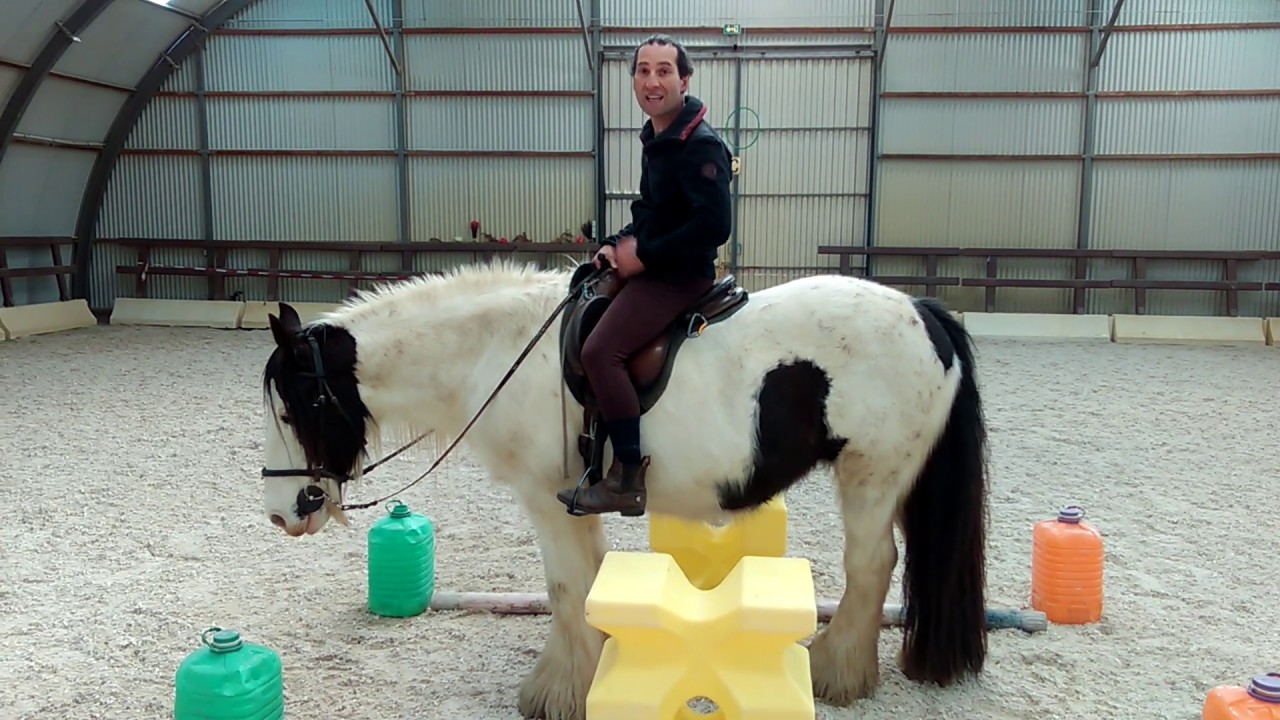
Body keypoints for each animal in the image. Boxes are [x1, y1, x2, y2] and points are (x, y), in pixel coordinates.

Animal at [257, 258, 990, 720]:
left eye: (298, 407)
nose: (284, 511)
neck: (498, 351)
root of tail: (923, 311)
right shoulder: (572, 500)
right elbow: (588, 581)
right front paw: (594, 670)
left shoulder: (543, 498)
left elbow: (564, 587)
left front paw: (557, 692)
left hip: (870, 476)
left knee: (871, 566)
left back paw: (837, 672)